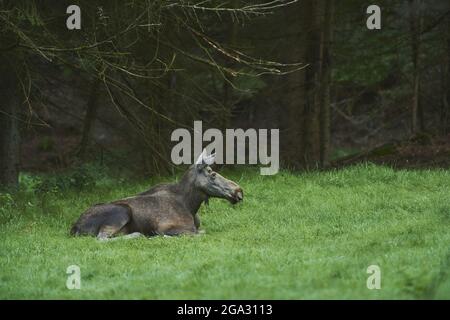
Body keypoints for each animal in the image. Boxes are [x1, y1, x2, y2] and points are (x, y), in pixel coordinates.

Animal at [71, 151, 244, 240]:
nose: (239, 191)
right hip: (121, 212)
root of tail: (75, 227)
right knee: (102, 238)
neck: (190, 205)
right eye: (212, 173)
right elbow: (198, 233)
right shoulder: (166, 227)